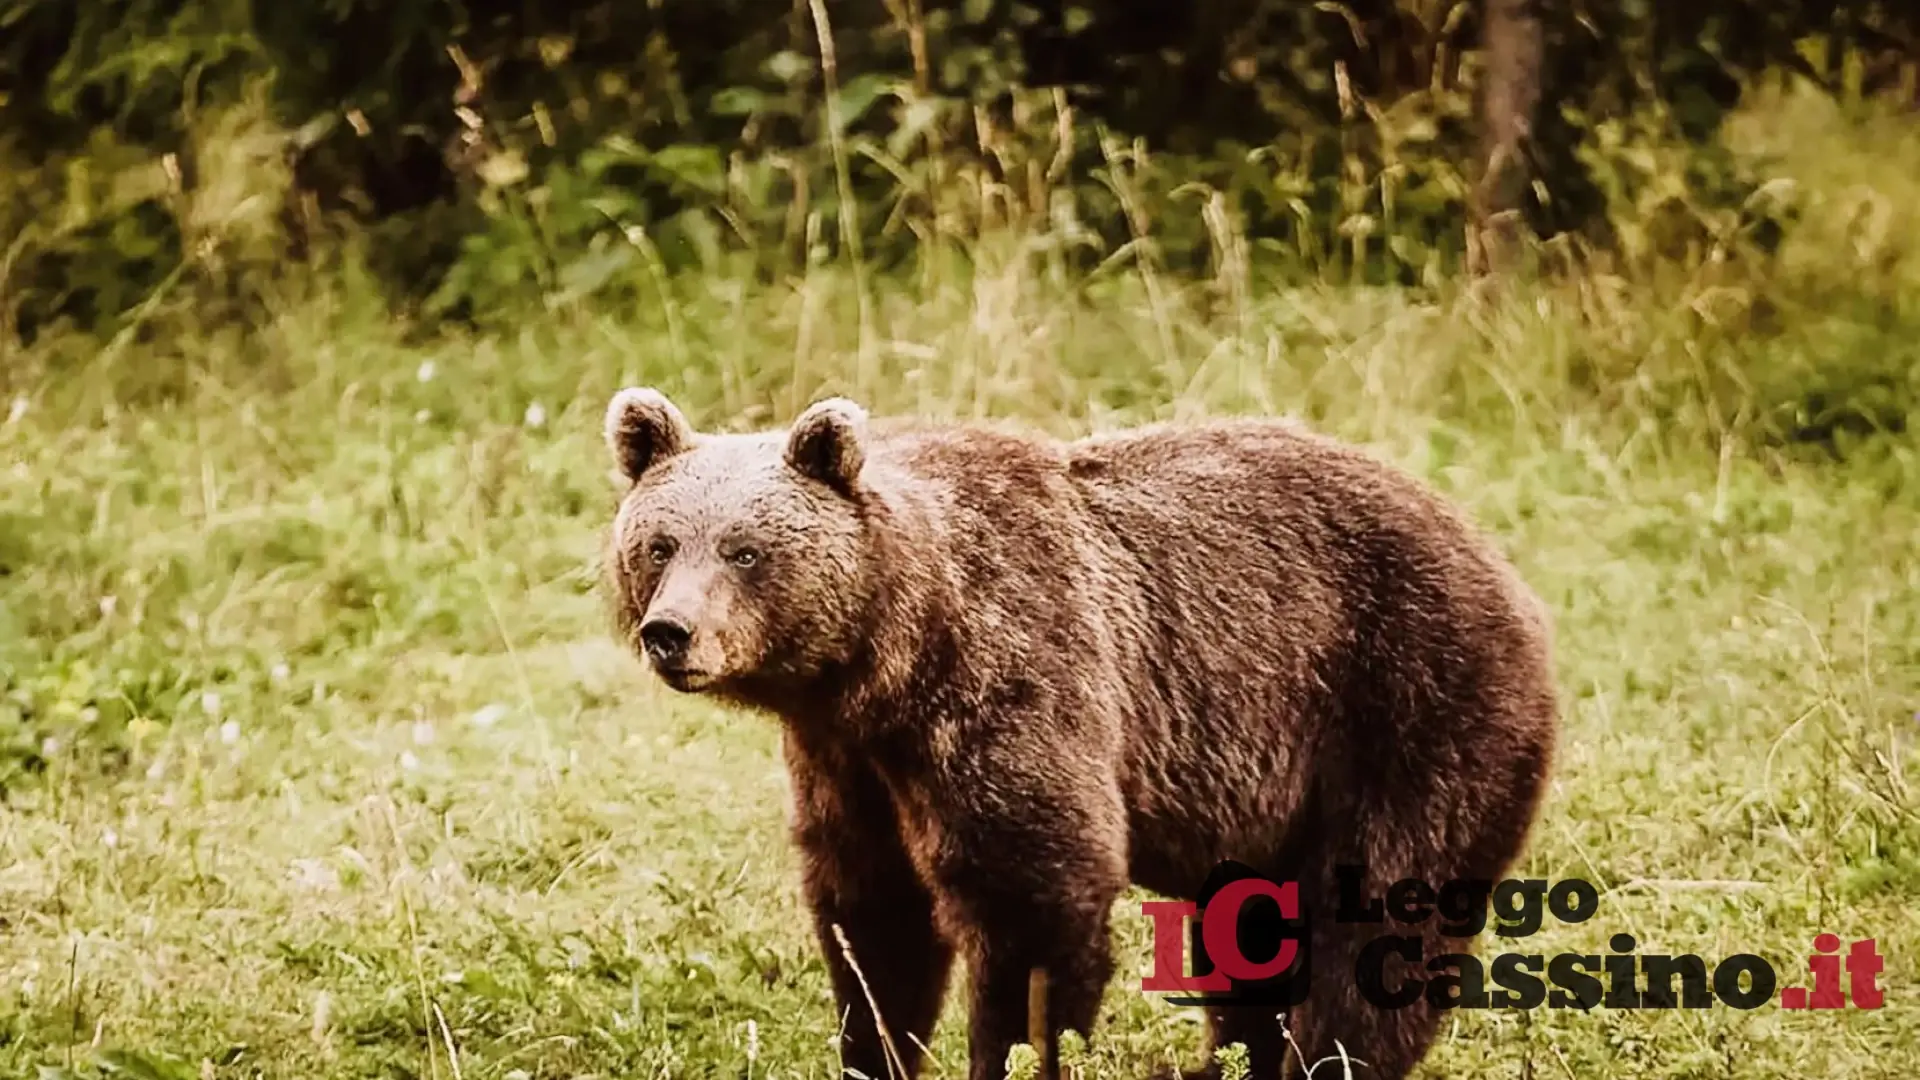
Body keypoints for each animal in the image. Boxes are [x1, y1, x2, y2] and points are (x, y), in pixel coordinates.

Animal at [598, 388, 1558, 1080]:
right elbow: (873, 921)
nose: (671, 632)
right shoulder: (848, 763)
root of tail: (1495, 558)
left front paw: (1017, 1051)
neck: (888, 658)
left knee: (1377, 924)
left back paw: (1326, 1060)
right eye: (660, 543)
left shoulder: (1013, 678)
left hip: (1408, 705)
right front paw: (875, 1049)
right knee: (1250, 938)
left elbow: (1032, 896)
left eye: (745, 550)